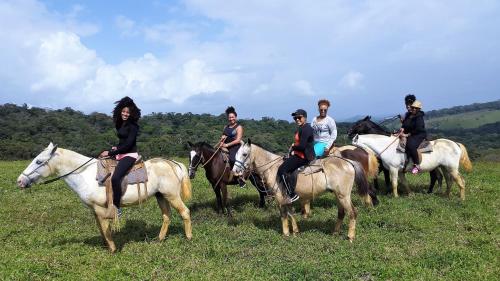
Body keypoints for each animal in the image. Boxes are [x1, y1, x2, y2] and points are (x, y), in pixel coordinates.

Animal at [16, 142, 192, 252]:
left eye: (39, 161)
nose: (20, 181)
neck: (85, 174)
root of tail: (173, 163)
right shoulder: (94, 210)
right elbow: (101, 229)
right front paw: (106, 246)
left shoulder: (101, 208)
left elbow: (106, 229)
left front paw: (112, 250)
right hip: (160, 196)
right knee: (166, 216)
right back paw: (159, 239)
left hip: (171, 195)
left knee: (185, 212)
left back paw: (188, 238)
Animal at [230, 140, 372, 241]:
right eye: (236, 154)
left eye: (244, 154)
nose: (235, 171)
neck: (273, 168)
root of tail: (348, 162)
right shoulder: (287, 198)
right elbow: (291, 213)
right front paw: (295, 231)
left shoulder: (280, 197)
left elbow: (284, 214)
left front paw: (286, 233)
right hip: (338, 195)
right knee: (341, 213)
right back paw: (335, 233)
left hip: (344, 196)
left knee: (353, 212)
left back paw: (350, 236)